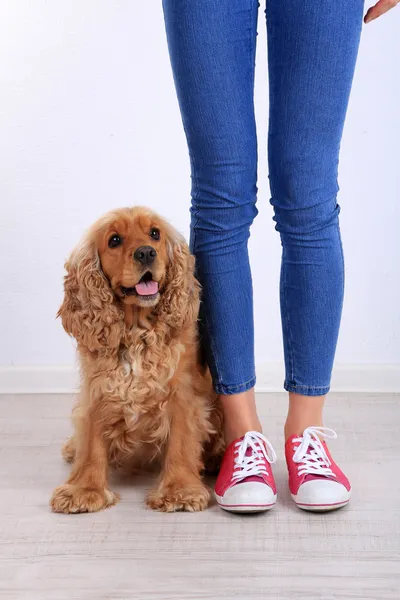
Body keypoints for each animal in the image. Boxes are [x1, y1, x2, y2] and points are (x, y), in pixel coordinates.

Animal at [50, 206, 223, 510]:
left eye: (155, 233)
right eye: (114, 240)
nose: (145, 253)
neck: (136, 331)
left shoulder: (182, 392)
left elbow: (181, 441)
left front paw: (180, 491)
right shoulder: (98, 390)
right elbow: (91, 443)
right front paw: (84, 490)